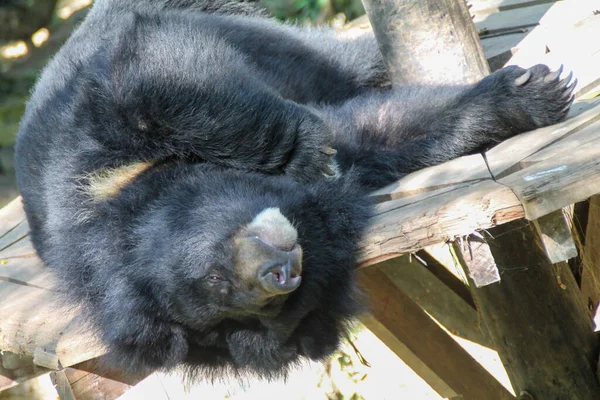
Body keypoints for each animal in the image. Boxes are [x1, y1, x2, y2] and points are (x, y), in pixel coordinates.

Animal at [15, 0, 576, 378]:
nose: (279, 274)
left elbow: (151, 77)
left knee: (330, 60)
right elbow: (378, 133)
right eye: (249, 311)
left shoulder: (94, 148)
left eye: (215, 276)